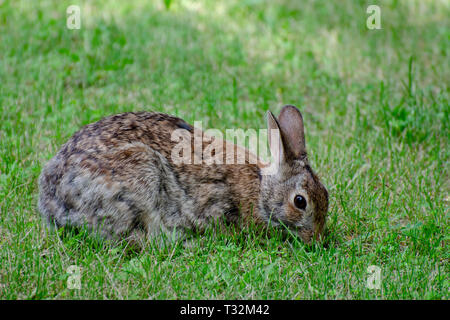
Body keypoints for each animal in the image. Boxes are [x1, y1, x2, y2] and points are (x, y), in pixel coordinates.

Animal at [37, 105, 326, 245]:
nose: (316, 240)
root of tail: (51, 203)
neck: (261, 189)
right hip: (140, 177)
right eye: (300, 201)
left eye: (326, 195)